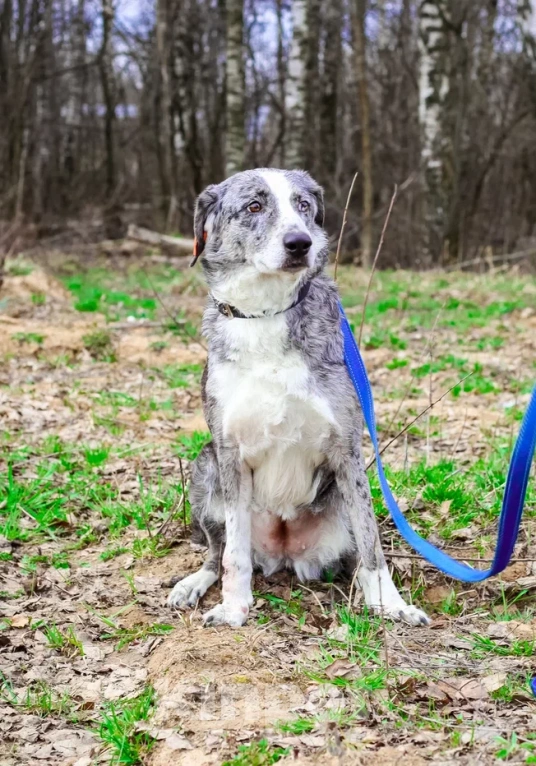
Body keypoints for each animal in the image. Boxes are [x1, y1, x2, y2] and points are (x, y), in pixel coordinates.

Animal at [169, 168, 432, 632]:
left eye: (304, 205)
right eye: (254, 206)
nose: (299, 243)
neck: (265, 314)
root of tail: (283, 552)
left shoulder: (347, 450)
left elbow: (373, 546)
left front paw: (392, 605)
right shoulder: (229, 450)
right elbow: (234, 555)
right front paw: (234, 608)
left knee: (355, 555)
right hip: (204, 467)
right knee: (216, 552)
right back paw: (193, 584)